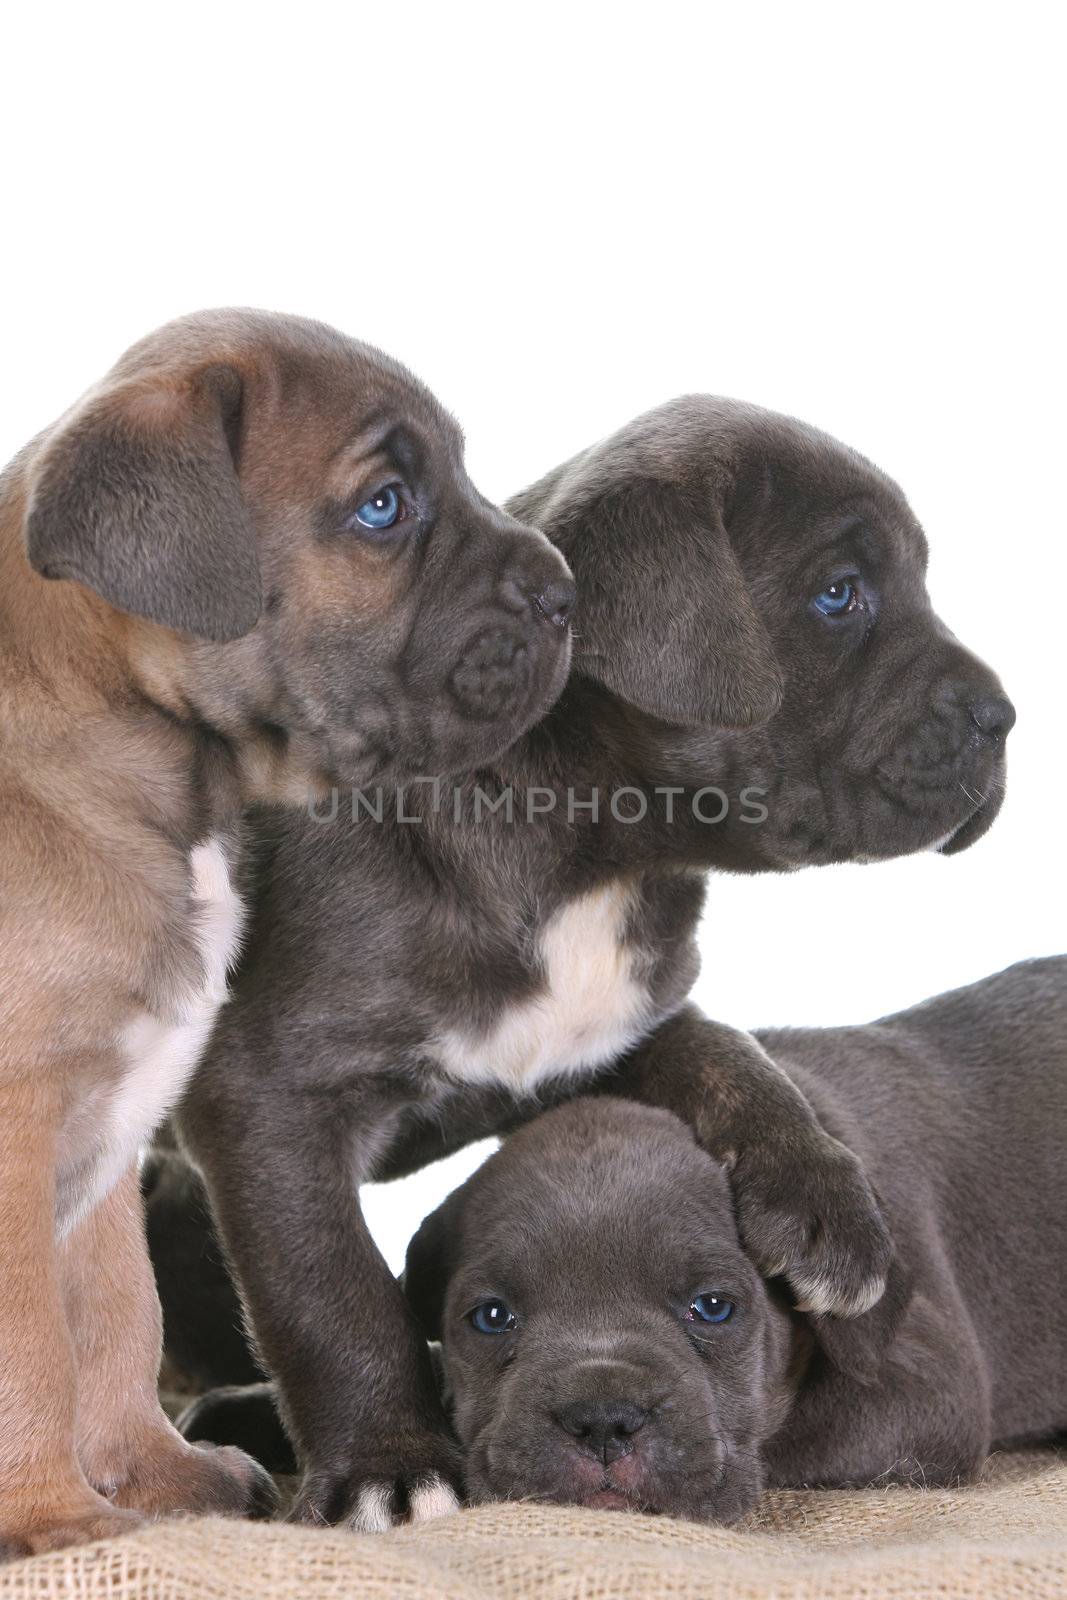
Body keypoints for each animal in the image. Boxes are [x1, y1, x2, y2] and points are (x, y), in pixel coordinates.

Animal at [0, 305, 575, 1555]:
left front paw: (151, 1477)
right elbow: (35, 1345)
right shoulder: (21, 1123)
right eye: (383, 506)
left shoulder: (112, 1126)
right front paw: (59, 1519)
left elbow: (115, 1316)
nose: (566, 592)